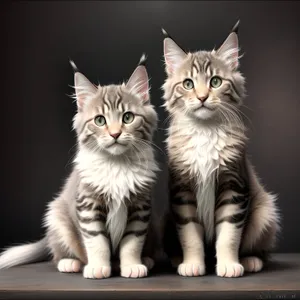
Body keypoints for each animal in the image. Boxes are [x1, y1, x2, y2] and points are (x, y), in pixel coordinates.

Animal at [0, 55, 159, 278]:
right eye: (100, 120)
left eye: (127, 117)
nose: (115, 134)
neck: (116, 164)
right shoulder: (88, 204)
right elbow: (97, 241)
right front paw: (99, 268)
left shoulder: (140, 207)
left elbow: (132, 242)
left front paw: (132, 266)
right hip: (56, 216)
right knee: (59, 254)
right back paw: (70, 263)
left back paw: (146, 260)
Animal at [163, 22, 280, 278]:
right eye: (188, 84)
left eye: (215, 82)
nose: (202, 97)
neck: (205, 131)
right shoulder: (182, 191)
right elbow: (190, 236)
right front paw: (193, 264)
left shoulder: (233, 186)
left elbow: (229, 234)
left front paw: (228, 265)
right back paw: (177, 259)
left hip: (264, 212)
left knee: (261, 251)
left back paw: (250, 260)